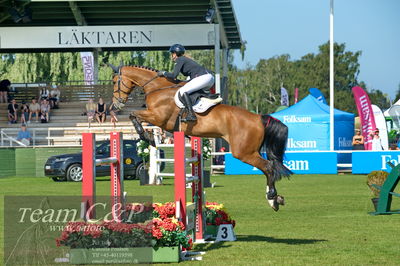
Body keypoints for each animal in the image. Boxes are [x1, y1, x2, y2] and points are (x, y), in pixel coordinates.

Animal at [111, 65, 292, 211]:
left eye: (114, 82)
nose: (116, 105)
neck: (158, 88)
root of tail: (259, 118)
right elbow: (135, 115)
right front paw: (148, 136)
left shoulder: (158, 117)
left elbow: (134, 115)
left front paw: (147, 137)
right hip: (250, 151)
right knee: (268, 168)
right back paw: (276, 198)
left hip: (243, 152)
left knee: (268, 167)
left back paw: (272, 199)